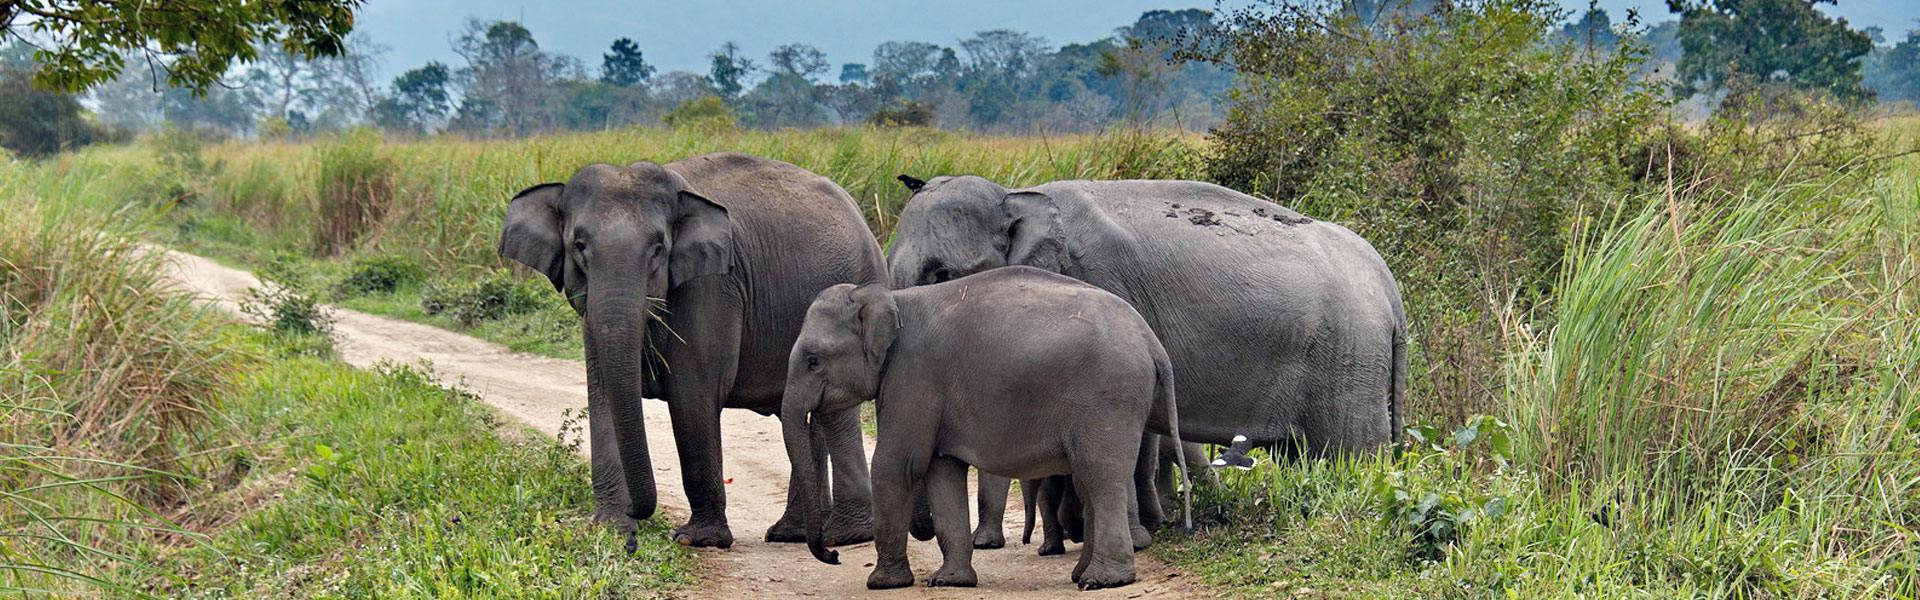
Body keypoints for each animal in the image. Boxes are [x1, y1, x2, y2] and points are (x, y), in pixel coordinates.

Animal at [495, 151, 883, 550]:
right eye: (579, 246)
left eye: (658, 249)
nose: (640, 517)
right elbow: (602, 393)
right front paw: (609, 528)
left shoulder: (713, 285)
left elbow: (691, 394)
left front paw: (696, 540)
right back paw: (792, 535)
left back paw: (838, 534)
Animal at [779, 267, 1182, 592]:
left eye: (813, 361)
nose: (832, 555)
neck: (891, 298)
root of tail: (1151, 341)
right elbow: (941, 471)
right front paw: (949, 581)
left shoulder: (914, 375)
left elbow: (898, 466)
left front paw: (882, 584)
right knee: (1089, 480)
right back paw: (1081, 576)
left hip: (1108, 398)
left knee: (1101, 477)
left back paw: (1103, 581)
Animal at [887, 173, 1413, 463]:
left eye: (941, 274)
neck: (1016, 195)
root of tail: (1387, 282)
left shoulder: (1102, 281)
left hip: (1348, 356)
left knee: (1349, 455)